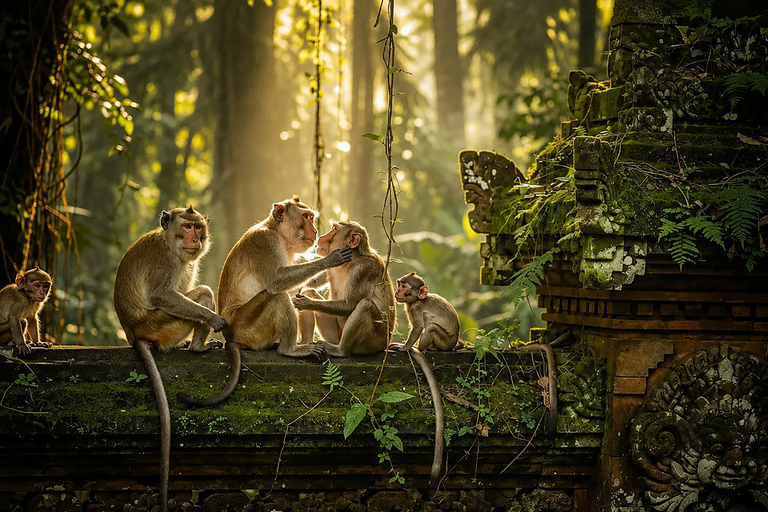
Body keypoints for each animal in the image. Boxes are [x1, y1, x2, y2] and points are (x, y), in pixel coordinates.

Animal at [113, 205, 226, 512]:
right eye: (186, 226)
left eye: (198, 227)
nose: (195, 238)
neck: (169, 243)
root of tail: (134, 333)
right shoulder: (167, 263)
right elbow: (162, 295)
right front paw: (213, 318)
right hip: (162, 325)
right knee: (202, 294)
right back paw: (197, 347)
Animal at [177, 196, 352, 407]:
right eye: (306, 217)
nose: (315, 231)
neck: (277, 233)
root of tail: (232, 336)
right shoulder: (266, 242)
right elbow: (276, 282)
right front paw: (328, 260)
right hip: (248, 328)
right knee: (278, 296)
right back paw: (290, 350)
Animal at [291, 220, 396, 357]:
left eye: (334, 230)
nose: (321, 236)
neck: (351, 260)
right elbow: (312, 282)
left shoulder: (363, 269)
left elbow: (350, 305)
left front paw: (306, 302)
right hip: (335, 336)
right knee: (310, 292)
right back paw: (306, 343)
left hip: (374, 342)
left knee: (365, 305)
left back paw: (340, 350)